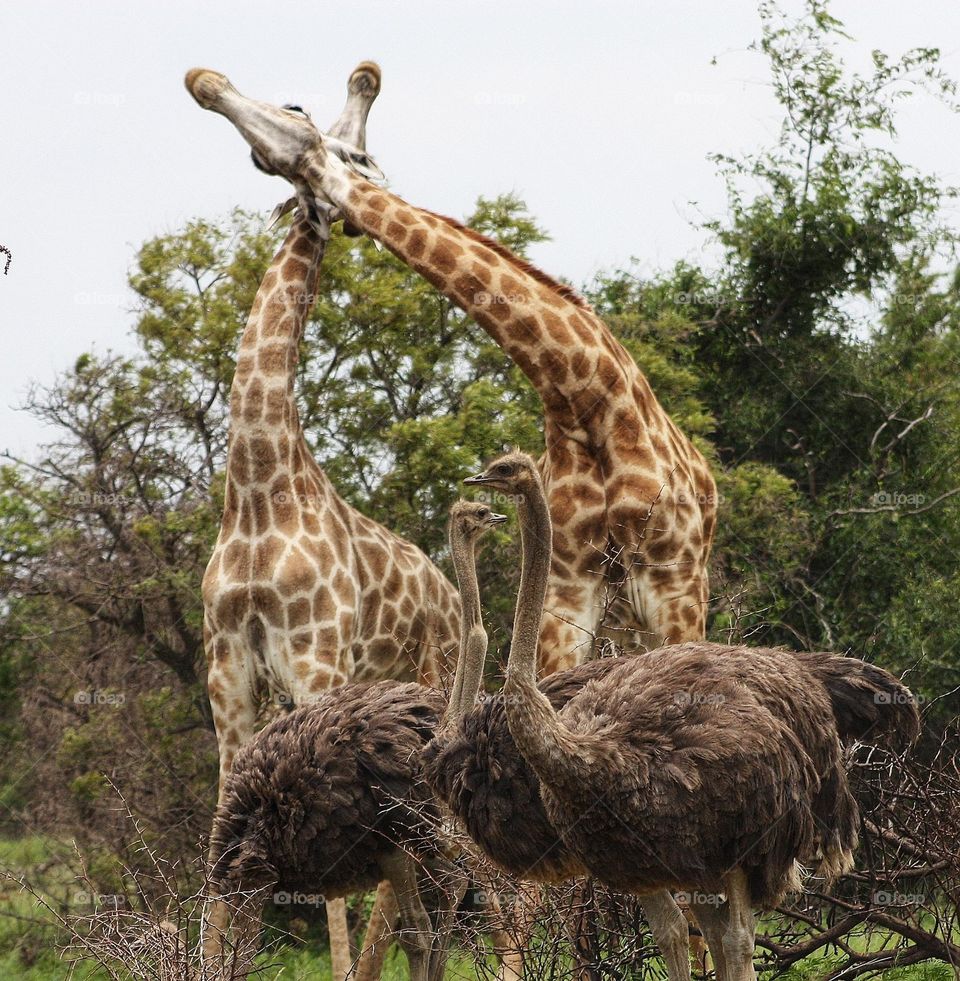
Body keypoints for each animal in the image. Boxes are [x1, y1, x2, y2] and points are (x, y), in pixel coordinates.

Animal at [197, 65, 460, 976]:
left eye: (354, 150)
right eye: (300, 108)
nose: (206, 81)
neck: (256, 490)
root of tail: (456, 600)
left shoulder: (316, 660)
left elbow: (332, 890)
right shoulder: (226, 674)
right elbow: (219, 843)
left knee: (411, 874)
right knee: (404, 885)